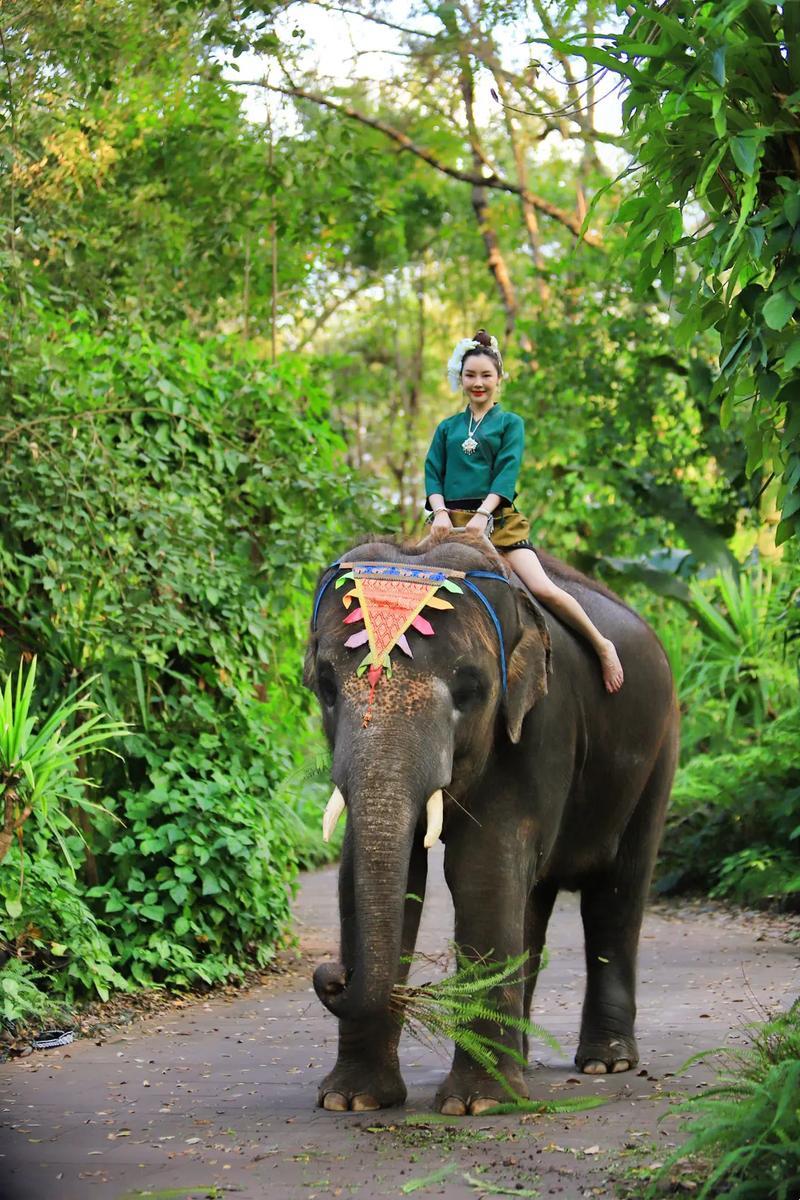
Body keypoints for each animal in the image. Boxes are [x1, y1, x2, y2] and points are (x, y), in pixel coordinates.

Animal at [303, 532, 681, 1113]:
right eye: (325, 686)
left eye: (470, 689)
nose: (332, 975)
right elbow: (367, 874)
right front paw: (352, 1101)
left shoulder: (541, 723)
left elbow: (482, 867)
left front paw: (476, 1105)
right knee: (534, 897)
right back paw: (521, 1063)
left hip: (659, 752)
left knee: (617, 891)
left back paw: (605, 1062)